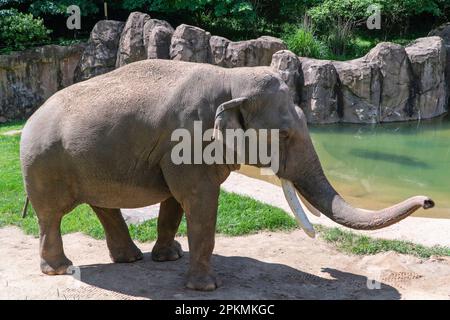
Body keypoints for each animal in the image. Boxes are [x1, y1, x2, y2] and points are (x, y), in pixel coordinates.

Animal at [19, 58, 434, 292]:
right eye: (285, 134)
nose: (430, 200)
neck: (231, 78)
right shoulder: (188, 137)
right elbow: (199, 200)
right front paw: (206, 288)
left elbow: (176, 202)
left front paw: (169, 258)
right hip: (44, 165)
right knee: (51, 215)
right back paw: (60, 269)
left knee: (102, 207)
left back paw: (130, 260)